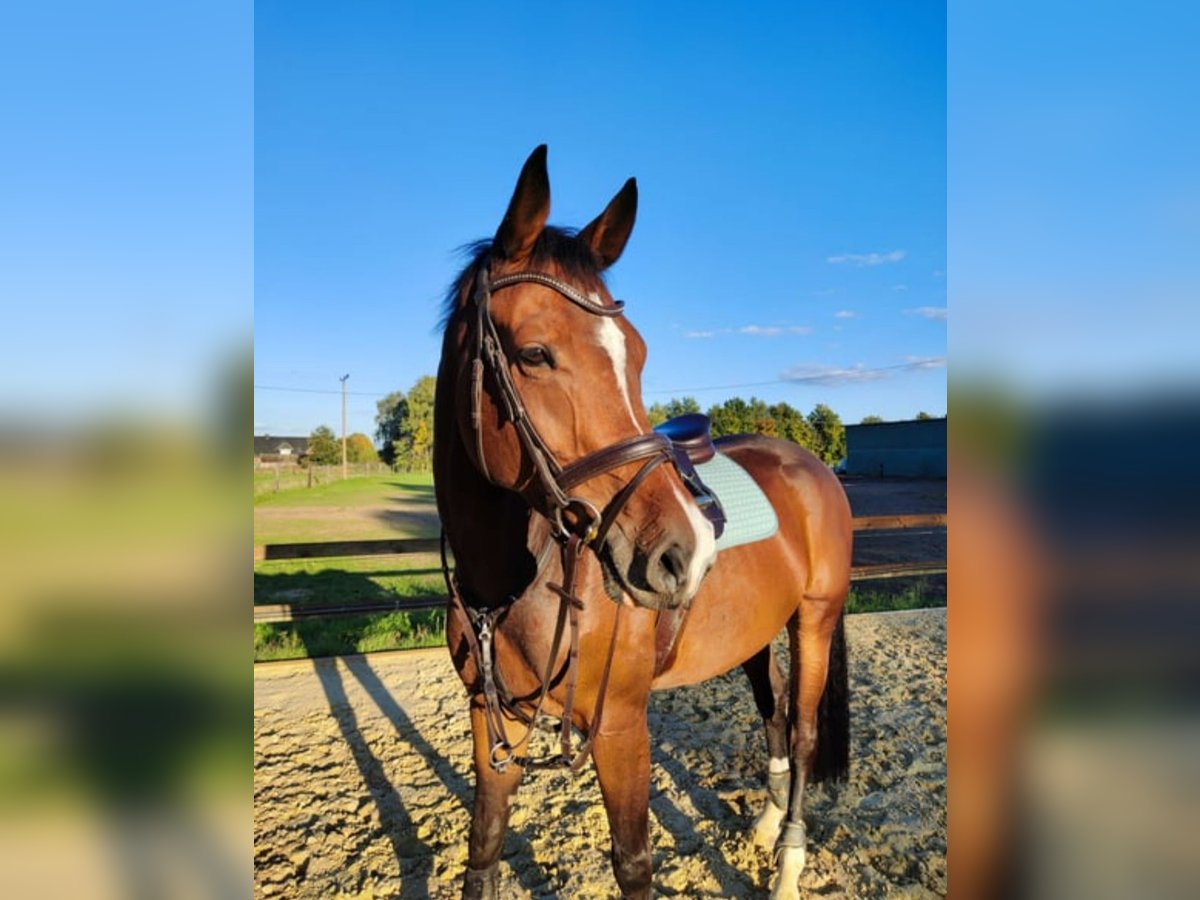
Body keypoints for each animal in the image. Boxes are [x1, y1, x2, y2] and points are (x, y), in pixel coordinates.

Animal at [434, 144, 854, 897]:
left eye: (638, 351)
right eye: (534, 353)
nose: (682, 554)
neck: (510, 584)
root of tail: (813, 464)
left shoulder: (621, 729)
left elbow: (633, 863)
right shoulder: (491, 720)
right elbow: (483, 847)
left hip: (815, 616)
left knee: (804, 731)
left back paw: (788, 861)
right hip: (756, 633)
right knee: (774, 711)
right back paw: (767, 824)